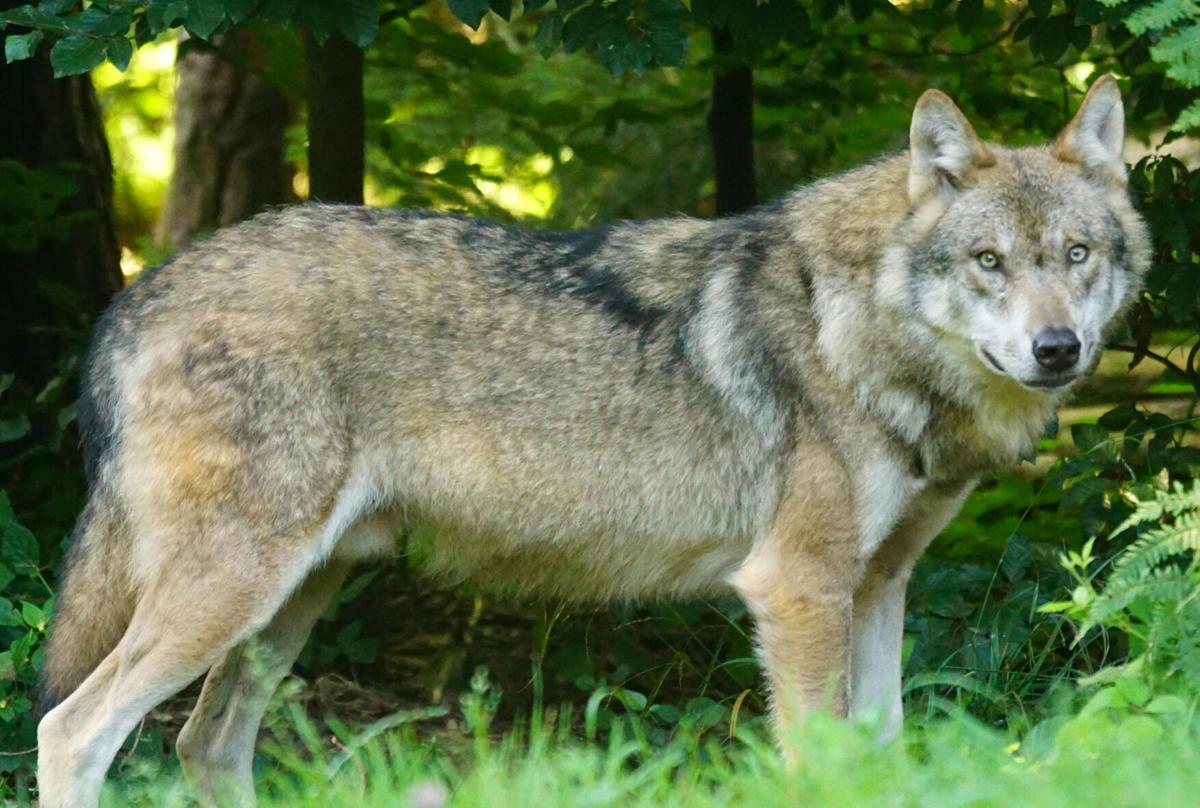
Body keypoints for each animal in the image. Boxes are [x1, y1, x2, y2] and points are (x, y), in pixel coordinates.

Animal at [35, 75, 1148, 806]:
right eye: (989, 261)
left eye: (1075, 255)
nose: (1057, 349)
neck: (858, 327)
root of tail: (141, 292)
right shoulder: (797, 590)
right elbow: (819, 764)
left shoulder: (878, 587)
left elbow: (882, 754)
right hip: (232, 595)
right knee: (69, 731)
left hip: (287, 603)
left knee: (207, 748)